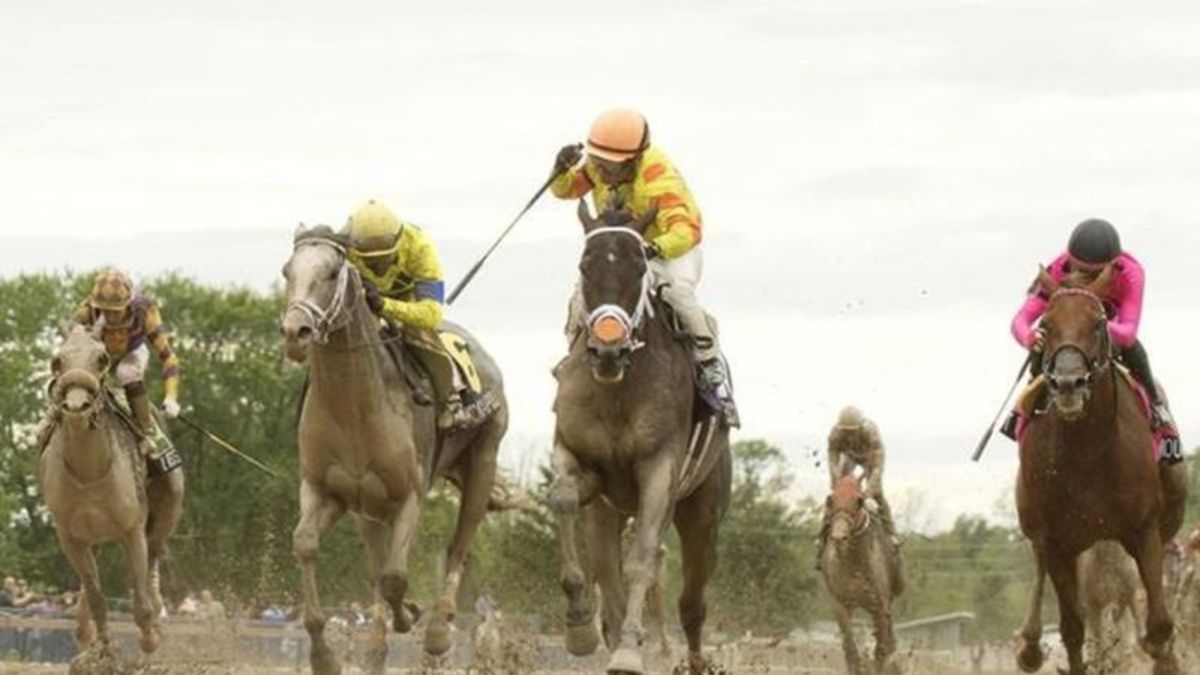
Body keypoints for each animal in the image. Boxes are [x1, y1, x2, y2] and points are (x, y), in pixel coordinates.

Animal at [279, 227, 506, 672]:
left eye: (331, 272)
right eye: (287, 271)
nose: (296, 332)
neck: (354, 409)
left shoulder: (409, 496)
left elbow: (395, 578)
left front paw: (414, 616)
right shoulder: (327, 491)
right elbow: (308, 544)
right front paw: (324, 656)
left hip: (483, 461)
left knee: (459, 546)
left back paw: (437, 629)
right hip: (369, 510)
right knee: (377, 562)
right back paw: (375, 647)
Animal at [549, 200, 729, 672]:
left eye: (638, 266)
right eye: (585, 264)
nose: (608, 349)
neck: (617, 390)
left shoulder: (659, 469)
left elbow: (643, 559)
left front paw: (630, 651)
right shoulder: (580, 461)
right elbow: (564, 499)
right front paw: (579, 624)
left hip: (703, 511)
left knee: (692, 604)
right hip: (607, 512)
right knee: (608, 574)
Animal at [825, 473, 902, 672]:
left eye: (859, 501)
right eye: (831, 500)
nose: (839, 537)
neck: (855, 564)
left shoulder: (879, 606)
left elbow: (881, 650)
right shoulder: (841, 605)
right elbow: (850, 648)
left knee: (889, 642)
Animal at [1012, 265, 1190, 667]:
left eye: (1098, 323)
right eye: (1046, 323)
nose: (1068, 384)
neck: (1086, 453)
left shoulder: (1144, 532)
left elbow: (1159, 626)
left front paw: (1160, 655)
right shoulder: (1057, 543)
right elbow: (1073, 631)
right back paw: (1029, 646)